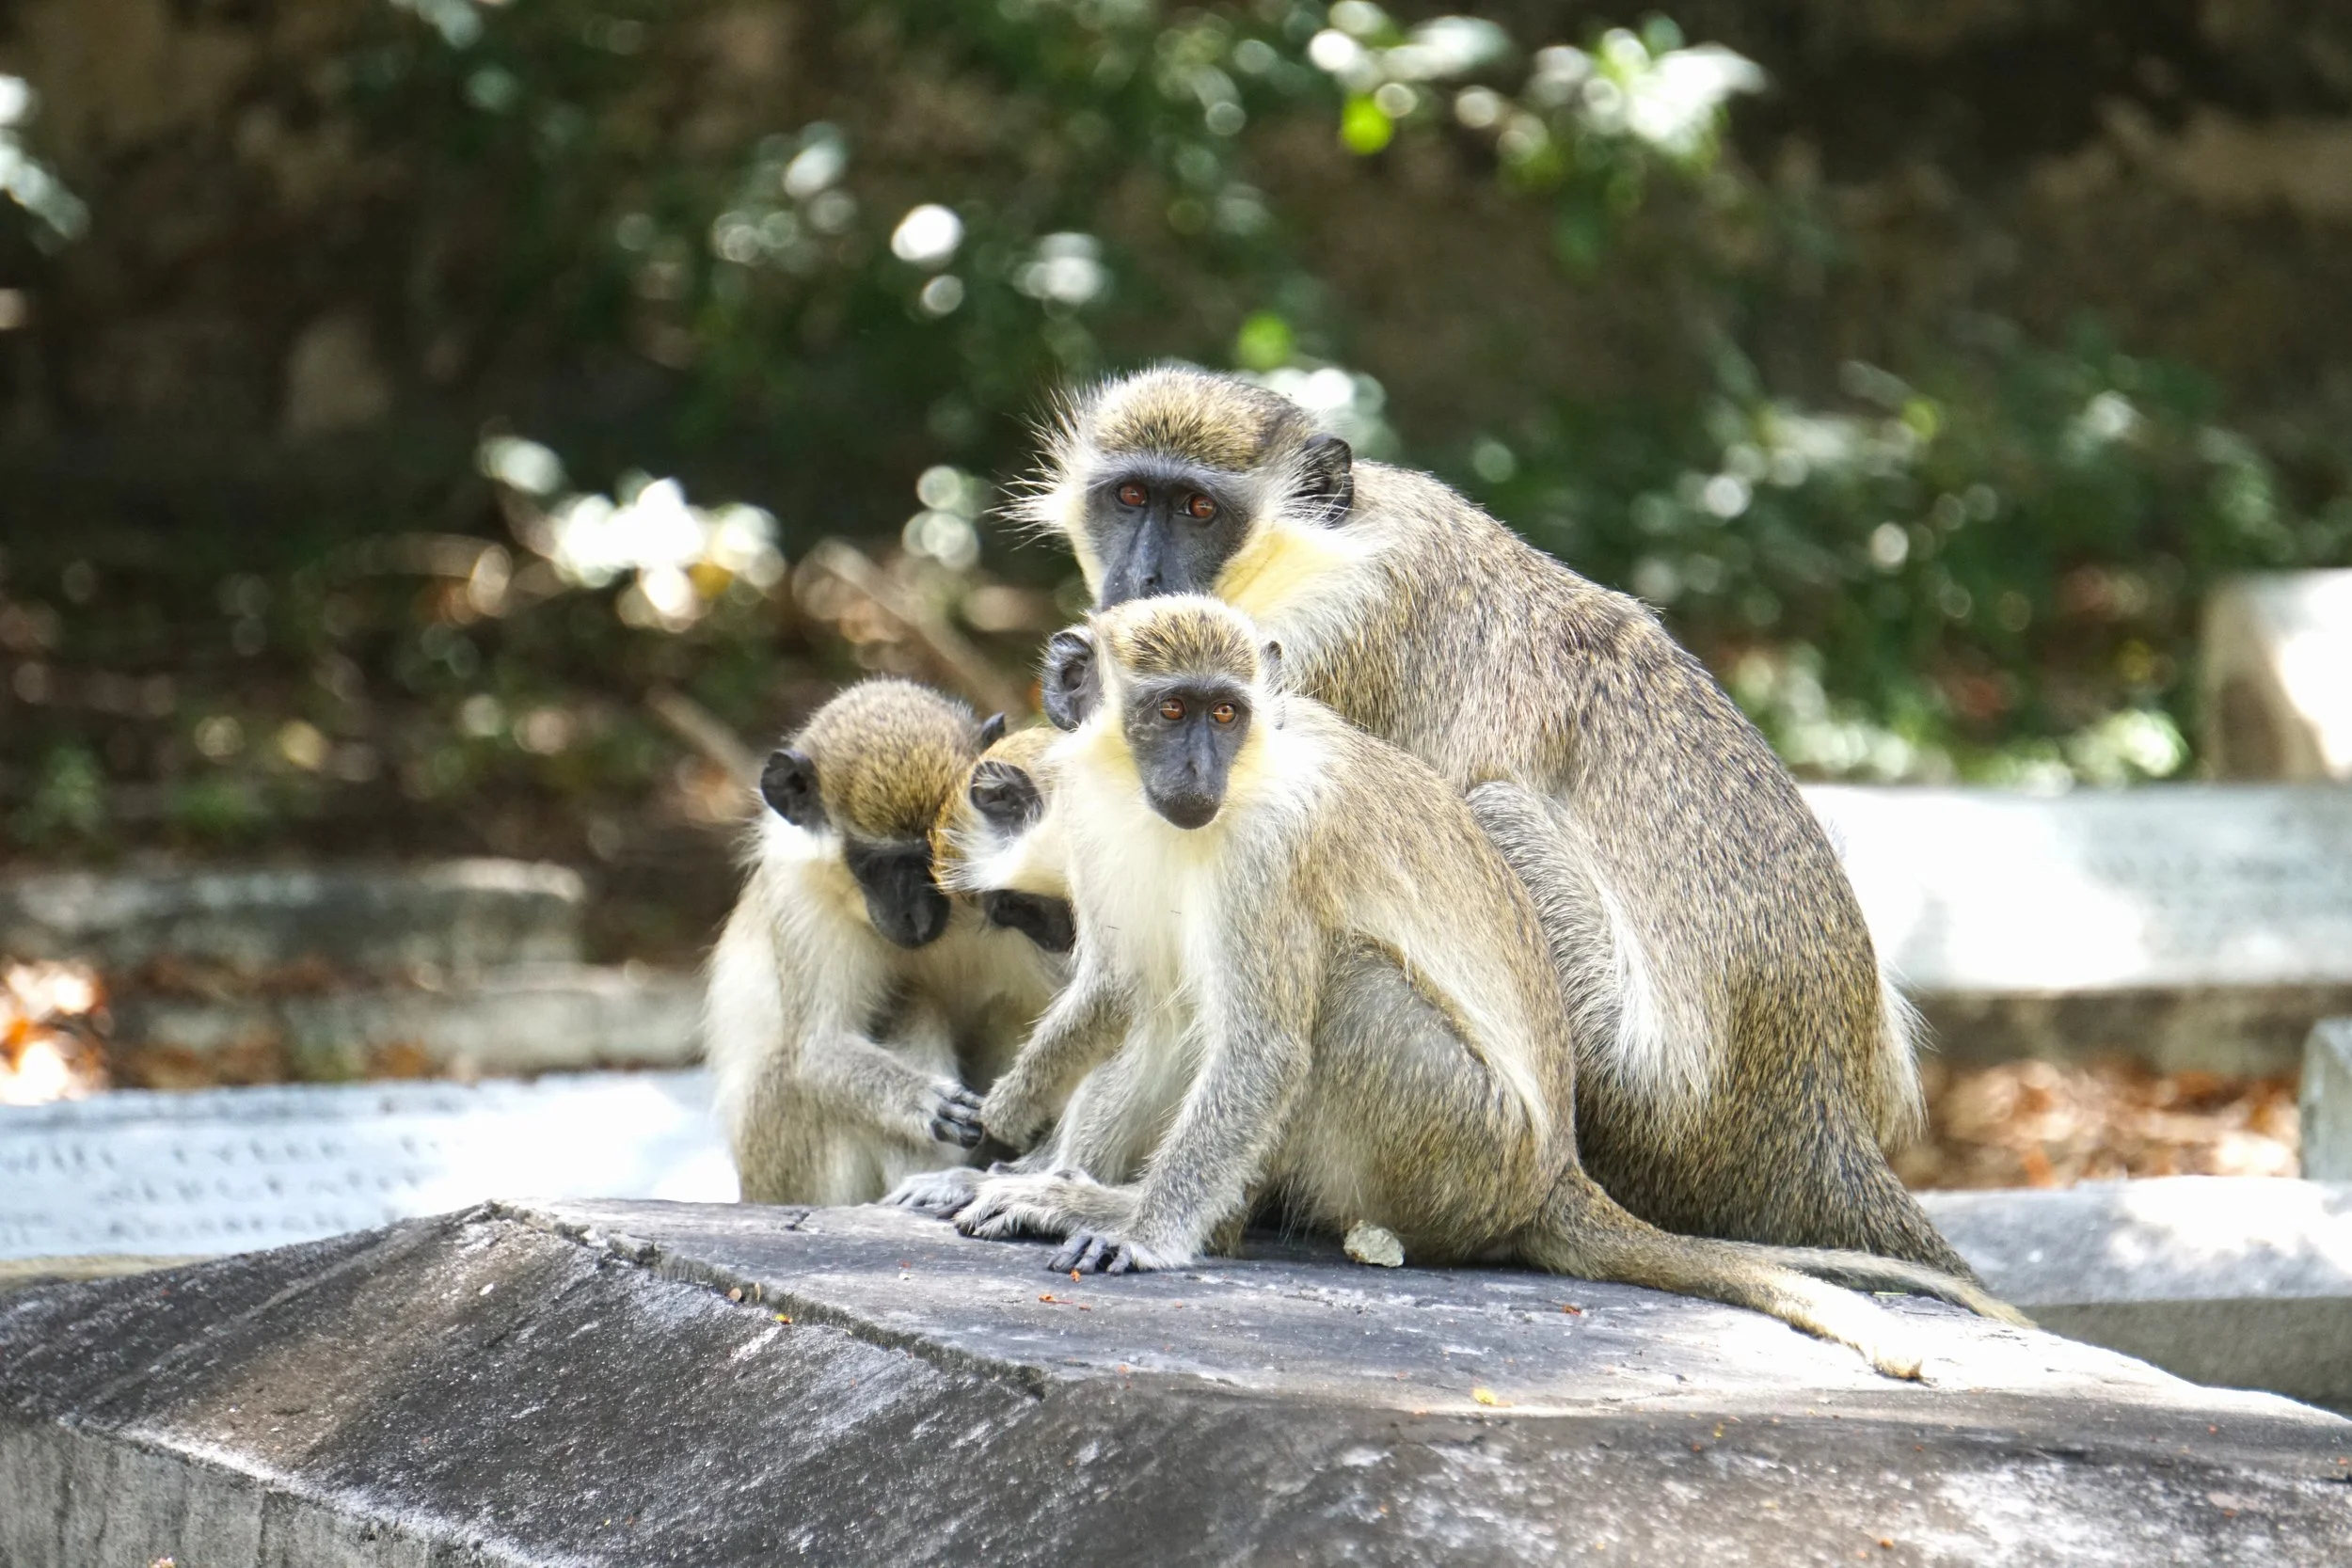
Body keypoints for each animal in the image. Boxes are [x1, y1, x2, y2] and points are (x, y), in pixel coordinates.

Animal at [702, 679, 1061, 1206]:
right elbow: (818, 1050)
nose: (917, 918)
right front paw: (923, 1103)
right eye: (875, 866)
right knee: (901, 1002)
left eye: (937, 856)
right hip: (779, 1162)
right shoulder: (799, 895)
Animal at [932, 597, 2020, 1378]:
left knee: (1340, 985)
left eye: (1225, 711)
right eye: (1170, 710)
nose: (1201, 769)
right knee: (1178, 1004)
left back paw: (1162, 1216)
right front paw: (1003, 1133)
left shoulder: (1270, 849)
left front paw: (1146, 1231)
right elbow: (1122, 986)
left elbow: (1263, 1046)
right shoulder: (1099, 825)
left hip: (1458, 1148)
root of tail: (1556, 1169)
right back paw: (1062, 1185)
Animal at [1016, 365, 1971, 1278]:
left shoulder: (1308, 661)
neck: (1325, 547)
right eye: (1130, 496)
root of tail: (1822, 1115)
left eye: (1199, 509)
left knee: (1482, 816)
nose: (1142, 580)